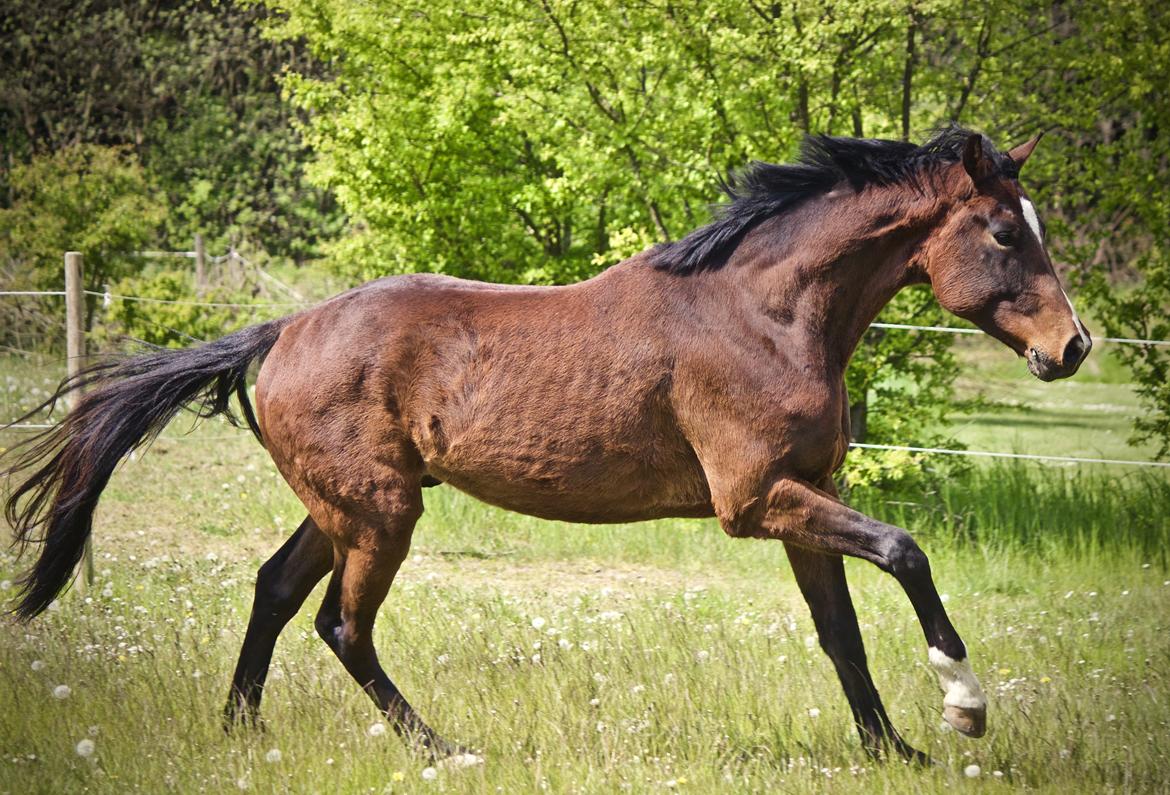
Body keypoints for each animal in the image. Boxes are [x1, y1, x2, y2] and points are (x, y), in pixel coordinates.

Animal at [4, 128, 1090, 763]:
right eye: (1005, 234)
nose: (1073, 347)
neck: (764, 314)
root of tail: (280, 333)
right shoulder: (755, 500)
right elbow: (906, 552)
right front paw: (965, 709)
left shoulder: (800, 495)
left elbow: (842, 634)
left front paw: (895, 752)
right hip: (381, 514)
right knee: (342, 626)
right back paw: (444, 750)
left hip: (344, 506)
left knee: (273, 590)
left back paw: (243, 734)